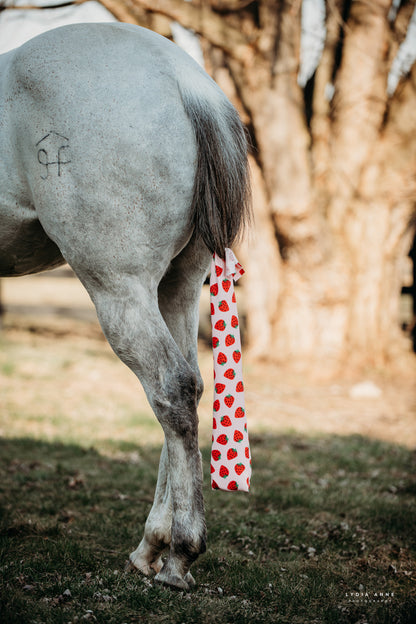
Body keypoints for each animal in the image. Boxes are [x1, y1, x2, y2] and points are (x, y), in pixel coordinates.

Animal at [0, 22, 250, 588]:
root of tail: (190, 83)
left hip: (119, 286)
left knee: (171, 388)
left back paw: (180, 554)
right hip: (178, 286)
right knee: (187, 387)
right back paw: (152, 545)